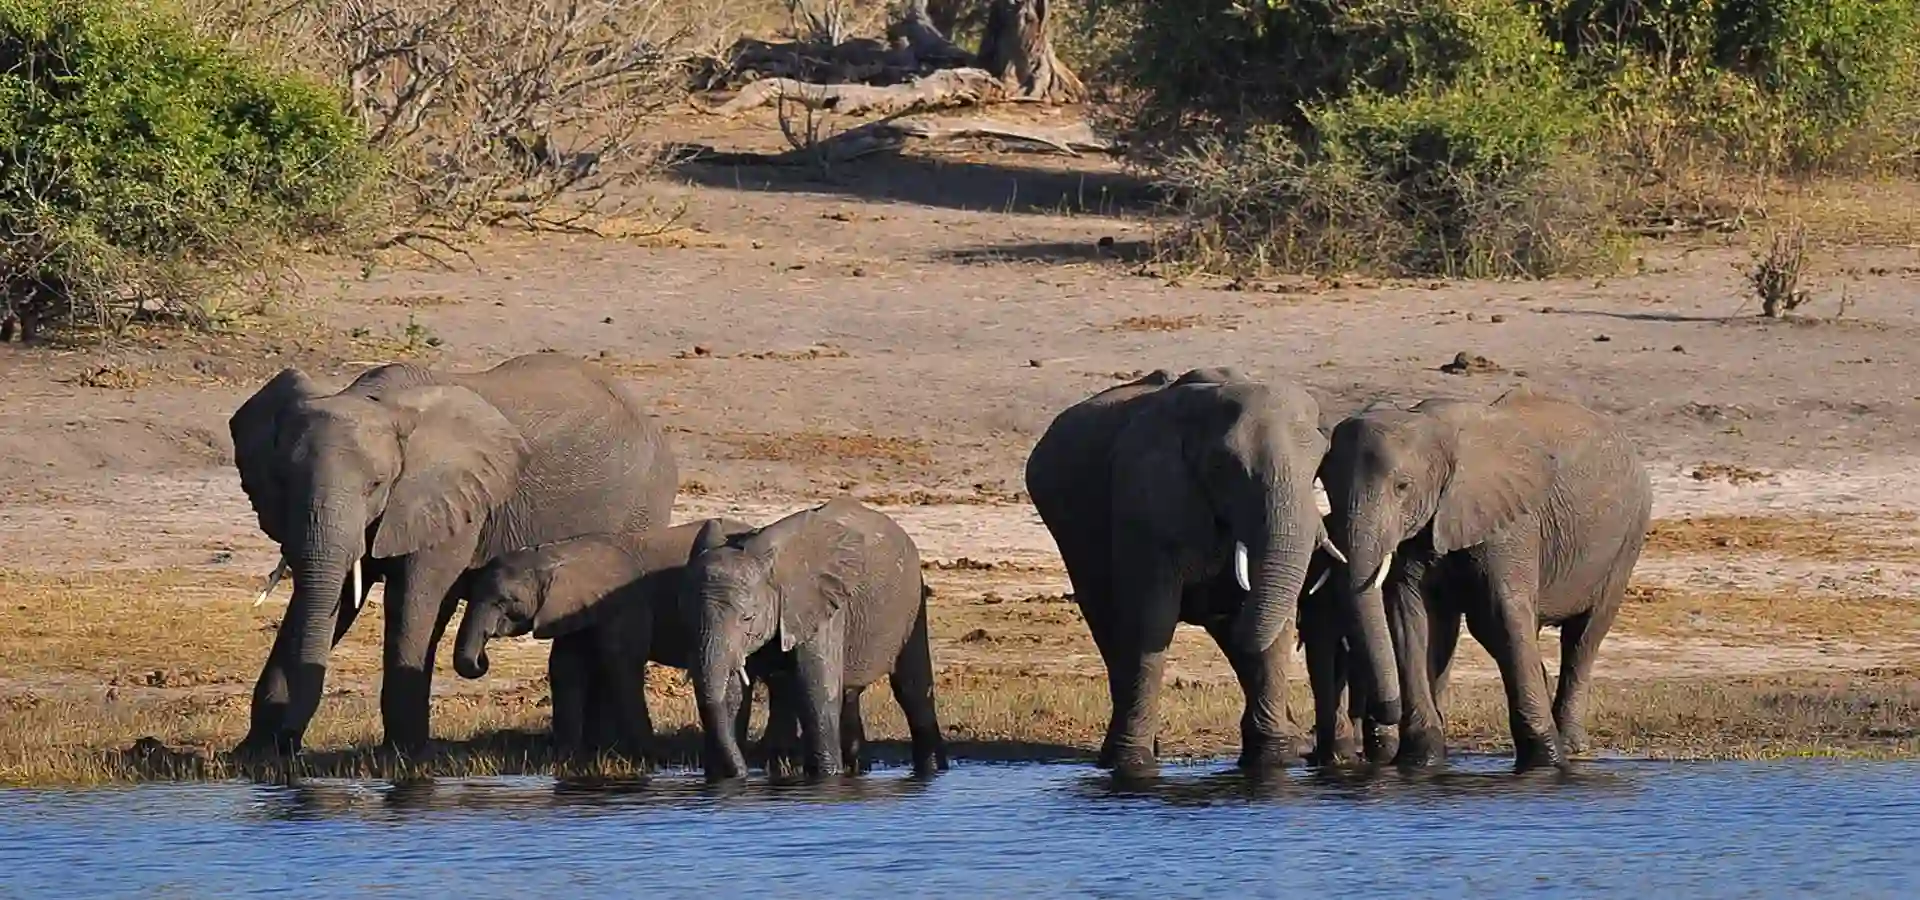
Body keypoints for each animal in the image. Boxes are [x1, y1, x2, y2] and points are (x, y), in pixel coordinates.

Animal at [229, 352, 678, 757]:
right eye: (282, 480)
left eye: (376, 484)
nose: (289, 740)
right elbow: (330, 596)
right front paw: (255, 755)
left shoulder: (446, 503)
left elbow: (414, 600)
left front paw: (403, 760)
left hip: (641, 508)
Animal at [451, 517, 758, 763]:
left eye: (505, 601)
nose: (481, 659)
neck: (553, 555)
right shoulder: (574, 608)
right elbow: (565, 667)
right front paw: (564, 756)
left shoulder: (624, 603)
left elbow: (622, 665)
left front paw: (654, 756)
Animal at [681, 497, 948, 781]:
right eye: (685, 615)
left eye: (748, 617)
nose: (744, 773)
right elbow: (732, 695)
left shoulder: (822, 606)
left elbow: (817, 690)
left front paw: (826, 778)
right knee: (844, 694)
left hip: (912, 600)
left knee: (912, 689)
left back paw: (932, 771)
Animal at [1024, 367, 1355, 777]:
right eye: (1224, 466)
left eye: (1319, 463)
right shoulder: (1147, 500)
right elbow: (1151, 620)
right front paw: (1133, 766)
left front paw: (1273, 760)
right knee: (1108, 625)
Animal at [1319, 385, 1652, 771]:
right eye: (1325, 486)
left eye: (1402, 486)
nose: (1378, 716)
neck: (1430, 426)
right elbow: (1411, 617)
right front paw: (1422, 761)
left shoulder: (1512, 521)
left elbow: (1505, 612)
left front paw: (1544, 763)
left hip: (1629, 536)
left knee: (1582, 635)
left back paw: (1571, 747)